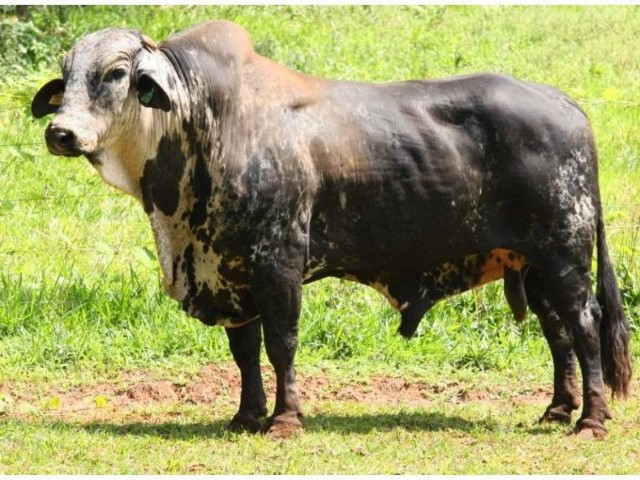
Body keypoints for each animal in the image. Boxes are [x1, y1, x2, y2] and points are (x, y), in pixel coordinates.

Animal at [32, 20, 631, 438]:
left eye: (115, 74)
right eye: (67, 77)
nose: (60, 133)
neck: (203, 122)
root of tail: (565, 104)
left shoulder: (278, 263)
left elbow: (281, 345)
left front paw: (285, 420)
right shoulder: (228, 271)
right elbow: (244, 350)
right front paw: (245, 416)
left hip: (566, 257)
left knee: (584, 326)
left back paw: (591, 421)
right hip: (535, 267)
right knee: (558, 334)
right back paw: (557, 410)